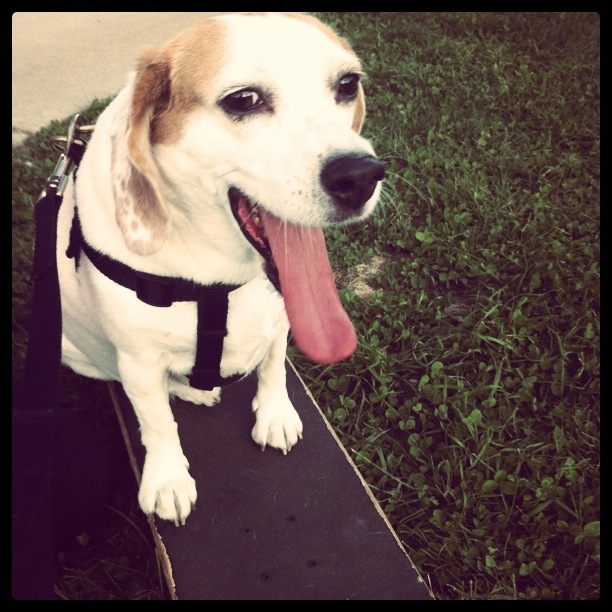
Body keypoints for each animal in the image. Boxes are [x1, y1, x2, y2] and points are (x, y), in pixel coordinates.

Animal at [57, 11, 382, 524]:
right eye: (244, 100)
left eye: (348, 84)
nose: (361, 175)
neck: (217, 276)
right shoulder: (138, 360)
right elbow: (157, 422)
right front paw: (168, 479)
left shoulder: (282, 319)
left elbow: (274, 366)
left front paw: (274, 413)